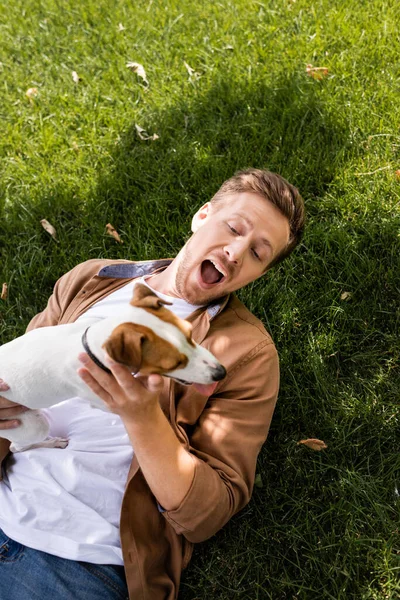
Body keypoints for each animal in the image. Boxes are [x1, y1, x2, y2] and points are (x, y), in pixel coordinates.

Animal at [0, 284, 225, 452]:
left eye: (190, 334)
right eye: (175, 363)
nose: (221, 372)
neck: (89, 344)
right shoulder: (104, 403)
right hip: (30, 425)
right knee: (17, 447)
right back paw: (52, 442)